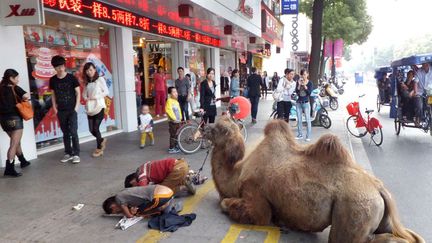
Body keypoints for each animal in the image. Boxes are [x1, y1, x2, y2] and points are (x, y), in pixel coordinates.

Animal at [204, 117, 424, 242]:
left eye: (219, 129)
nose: (204, 125)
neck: (237, 174)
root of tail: (379, 189)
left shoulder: (255, 196)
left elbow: (231, 204)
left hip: (354, 208)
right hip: (379, 213)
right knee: (404, 235)